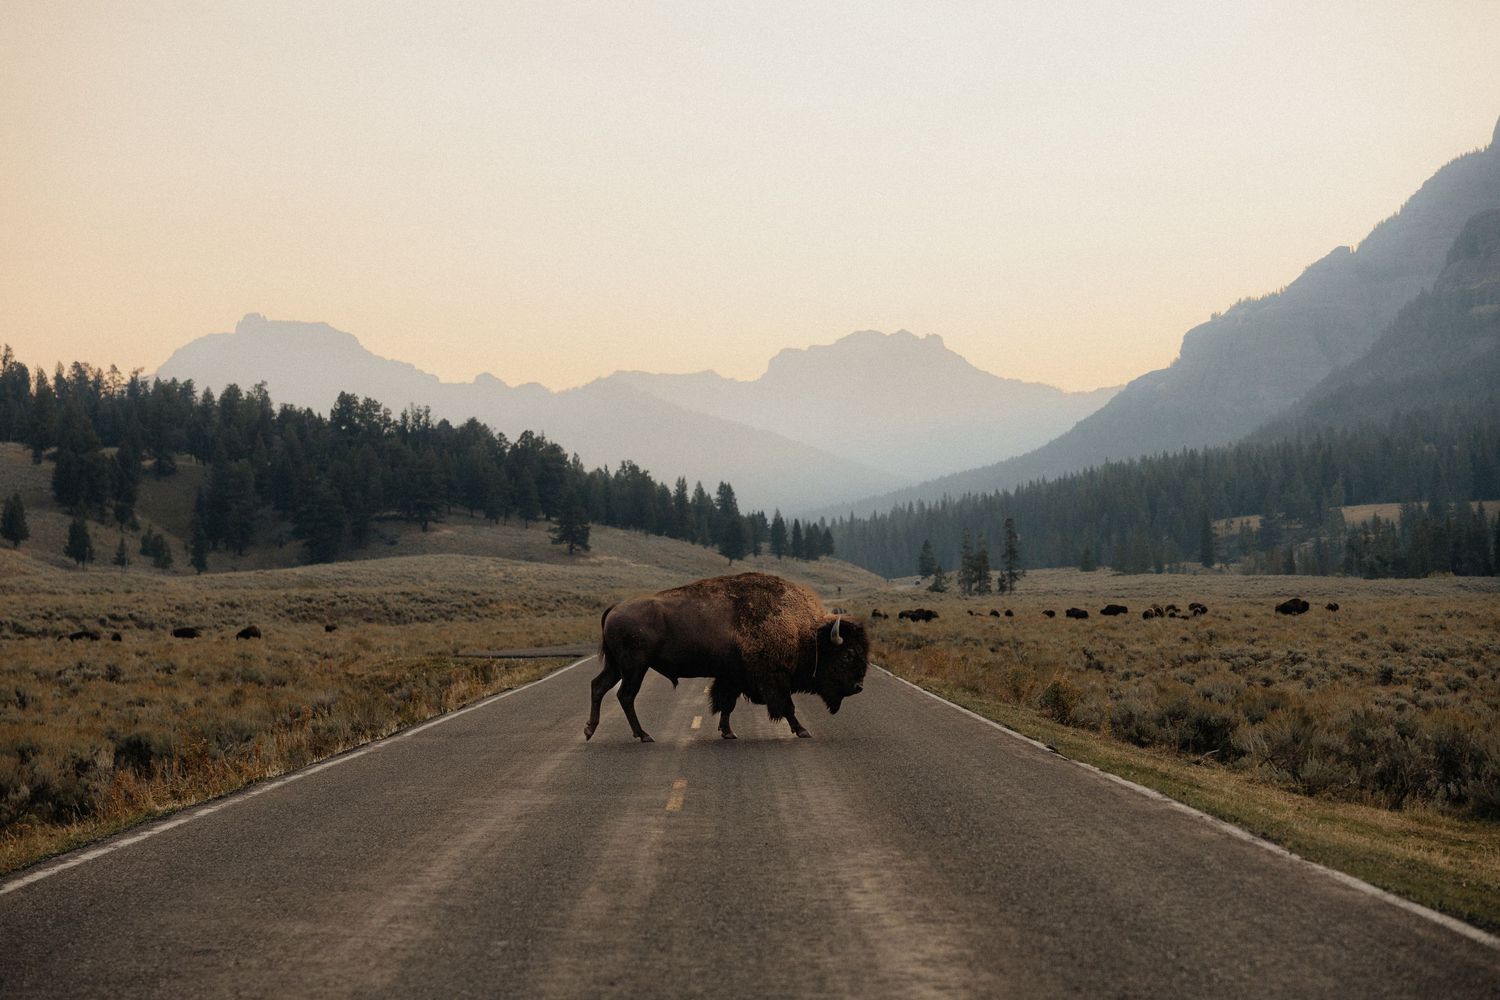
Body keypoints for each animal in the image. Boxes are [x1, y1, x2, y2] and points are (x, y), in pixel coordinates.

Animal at [587, 572, 869, 743]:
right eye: (847, 655)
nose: (858, 687)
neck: (803, 631)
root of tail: (615, 608)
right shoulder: (773, 678)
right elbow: (786, 706)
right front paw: (802, 730)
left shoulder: (732, 677)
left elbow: (726, 704)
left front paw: (728, 732)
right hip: (634, 667)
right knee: (625, 695)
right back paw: (643, 735)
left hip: (616, 666)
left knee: (599, 687)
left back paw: (590, 730)